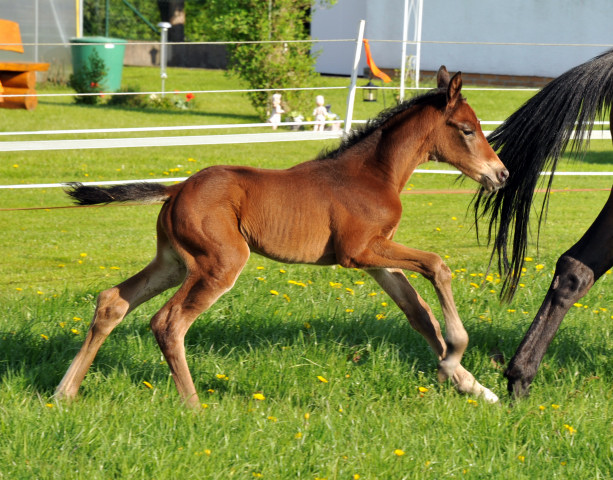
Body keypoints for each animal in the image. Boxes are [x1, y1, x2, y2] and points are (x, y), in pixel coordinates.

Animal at [57, 66, 506, 404]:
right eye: (467, 130)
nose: (500, 174)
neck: (373, 175)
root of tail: (177, 188)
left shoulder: (375, 259)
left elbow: (418, 313)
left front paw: (472, 385)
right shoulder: (359, 252)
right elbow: (437, 265)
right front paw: (455, 359)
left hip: (173, 262)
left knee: (112, 302)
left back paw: (65, 393)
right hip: (220, 263)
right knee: (168, 323)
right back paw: (194, 407)